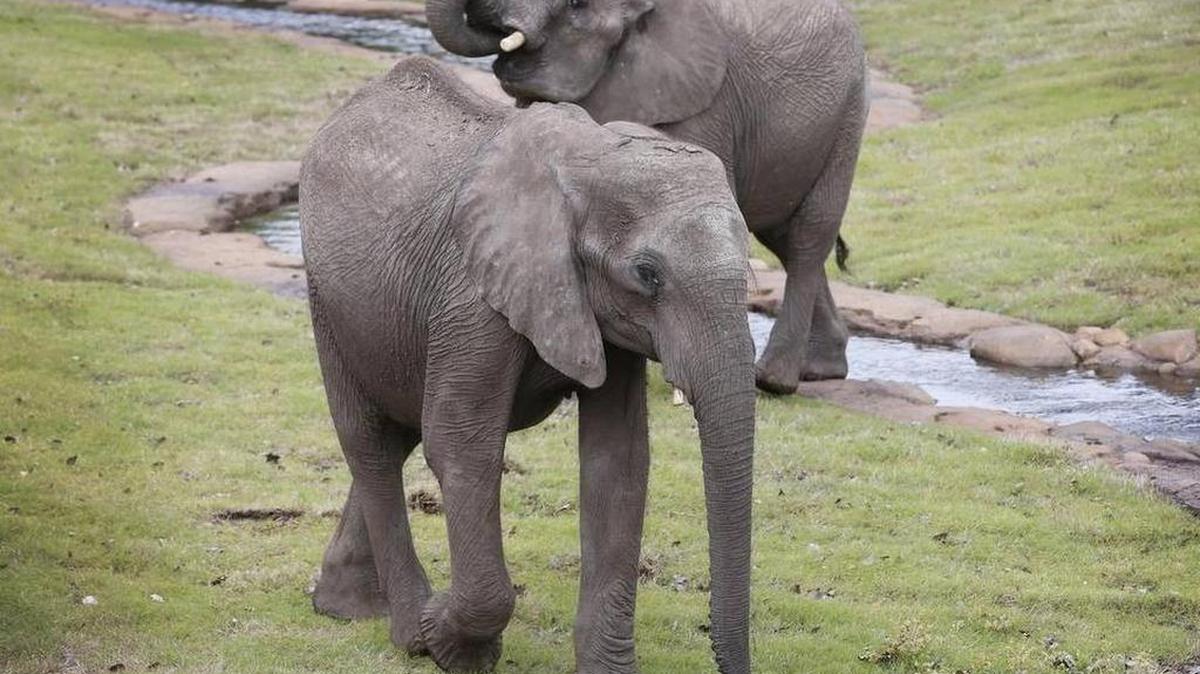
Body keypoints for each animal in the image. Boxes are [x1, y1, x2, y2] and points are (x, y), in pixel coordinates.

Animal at [300, 57, 756, 673]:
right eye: (647, 274)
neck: (591, 159)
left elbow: (617, 460)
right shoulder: (472, 294)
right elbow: (462, 445)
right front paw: (448, 643)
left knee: (398, 434)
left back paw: (346, 608)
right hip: (327, 296)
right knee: (369, 440)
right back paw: (407, 630)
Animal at [428, 0, 868, 394]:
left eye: (576, 5)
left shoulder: (705, 106)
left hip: (847, 115)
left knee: (809, 235)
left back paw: (774, 381)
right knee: (783, 239)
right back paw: (822, 370)